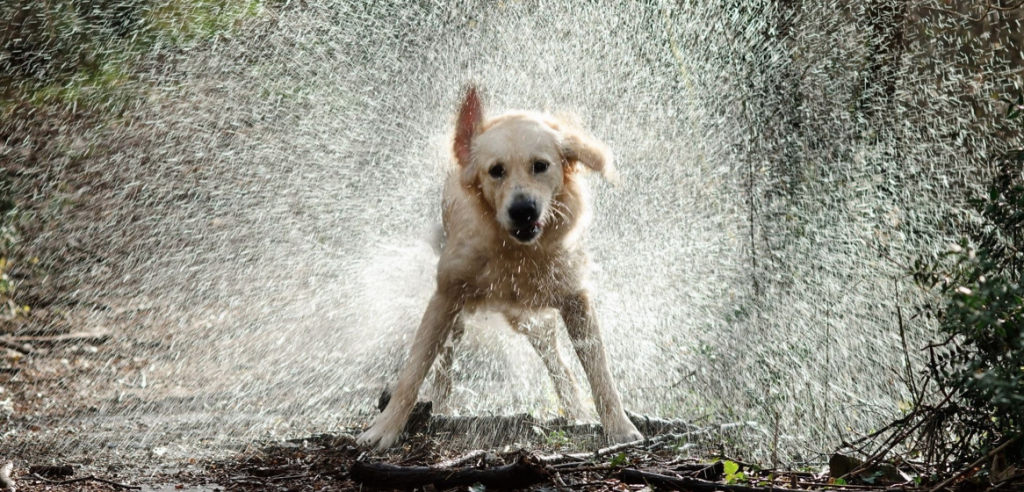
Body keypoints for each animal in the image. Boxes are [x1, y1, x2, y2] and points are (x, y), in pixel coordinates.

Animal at [354, 85, 638, 448]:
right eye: (496, 170)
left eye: (541, 166)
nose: (523, 210)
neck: (515, 252)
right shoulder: (445, 297)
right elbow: (414, 370)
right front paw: (384, 429)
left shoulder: (576, 298)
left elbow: (600, 371)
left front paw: (619, 426)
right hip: (461, 315)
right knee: (445, 362)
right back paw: (441, 407)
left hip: (532, 320)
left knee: (559, 364)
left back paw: (576, 411)